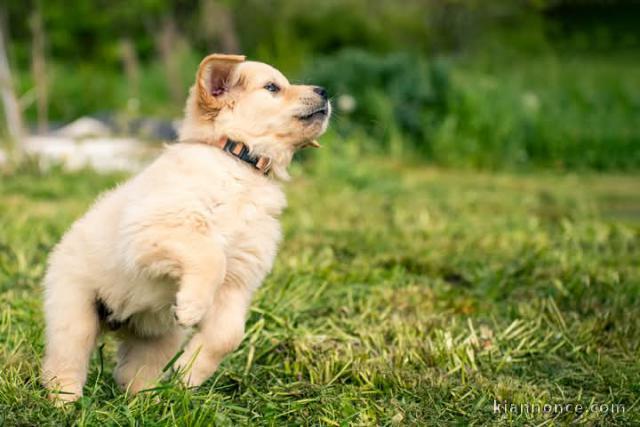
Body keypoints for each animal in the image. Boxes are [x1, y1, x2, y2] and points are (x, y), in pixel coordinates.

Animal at [41, 53, 330, 402]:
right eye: (273, 87)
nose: (325, 91)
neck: (238, 165)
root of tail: (119, 322)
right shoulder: (154, 230)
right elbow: (209, 254)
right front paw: (192, 309)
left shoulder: (239, 278)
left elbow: (228, 335)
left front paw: (188, 375)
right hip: (73, 309)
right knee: (64, 361)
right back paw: (64, 402)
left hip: (157, 339)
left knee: (134, 373)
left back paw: (148, 401)